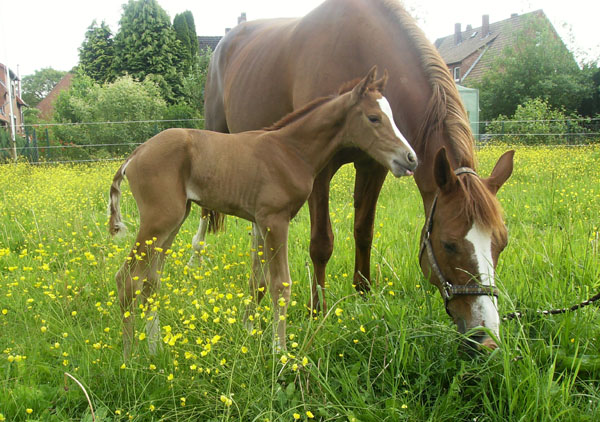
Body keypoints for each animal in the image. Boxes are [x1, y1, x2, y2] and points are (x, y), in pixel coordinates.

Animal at [109, 67, 418, 358]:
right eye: (374, 118)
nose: (410, 158)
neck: (290, 150)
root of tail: (135, 155)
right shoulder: (275, 220)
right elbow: (280, 285)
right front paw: (279, 350)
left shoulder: (258, 222)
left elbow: (256, 280)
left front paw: (250, 333)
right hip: (159, 220)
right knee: (126, 279)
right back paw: (129, 357)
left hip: (174, 221)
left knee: (150, 282)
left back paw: (154, 349)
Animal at [198, 0, 516, 350]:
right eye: (449, 245)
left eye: (501, 243)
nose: (486, 339)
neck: (357, 46)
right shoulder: (320, 171)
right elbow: (321, 243)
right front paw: (317, 311)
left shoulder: (374, 166)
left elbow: (364, 231)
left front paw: (364, 297)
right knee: (204, 211)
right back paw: (195, 262)